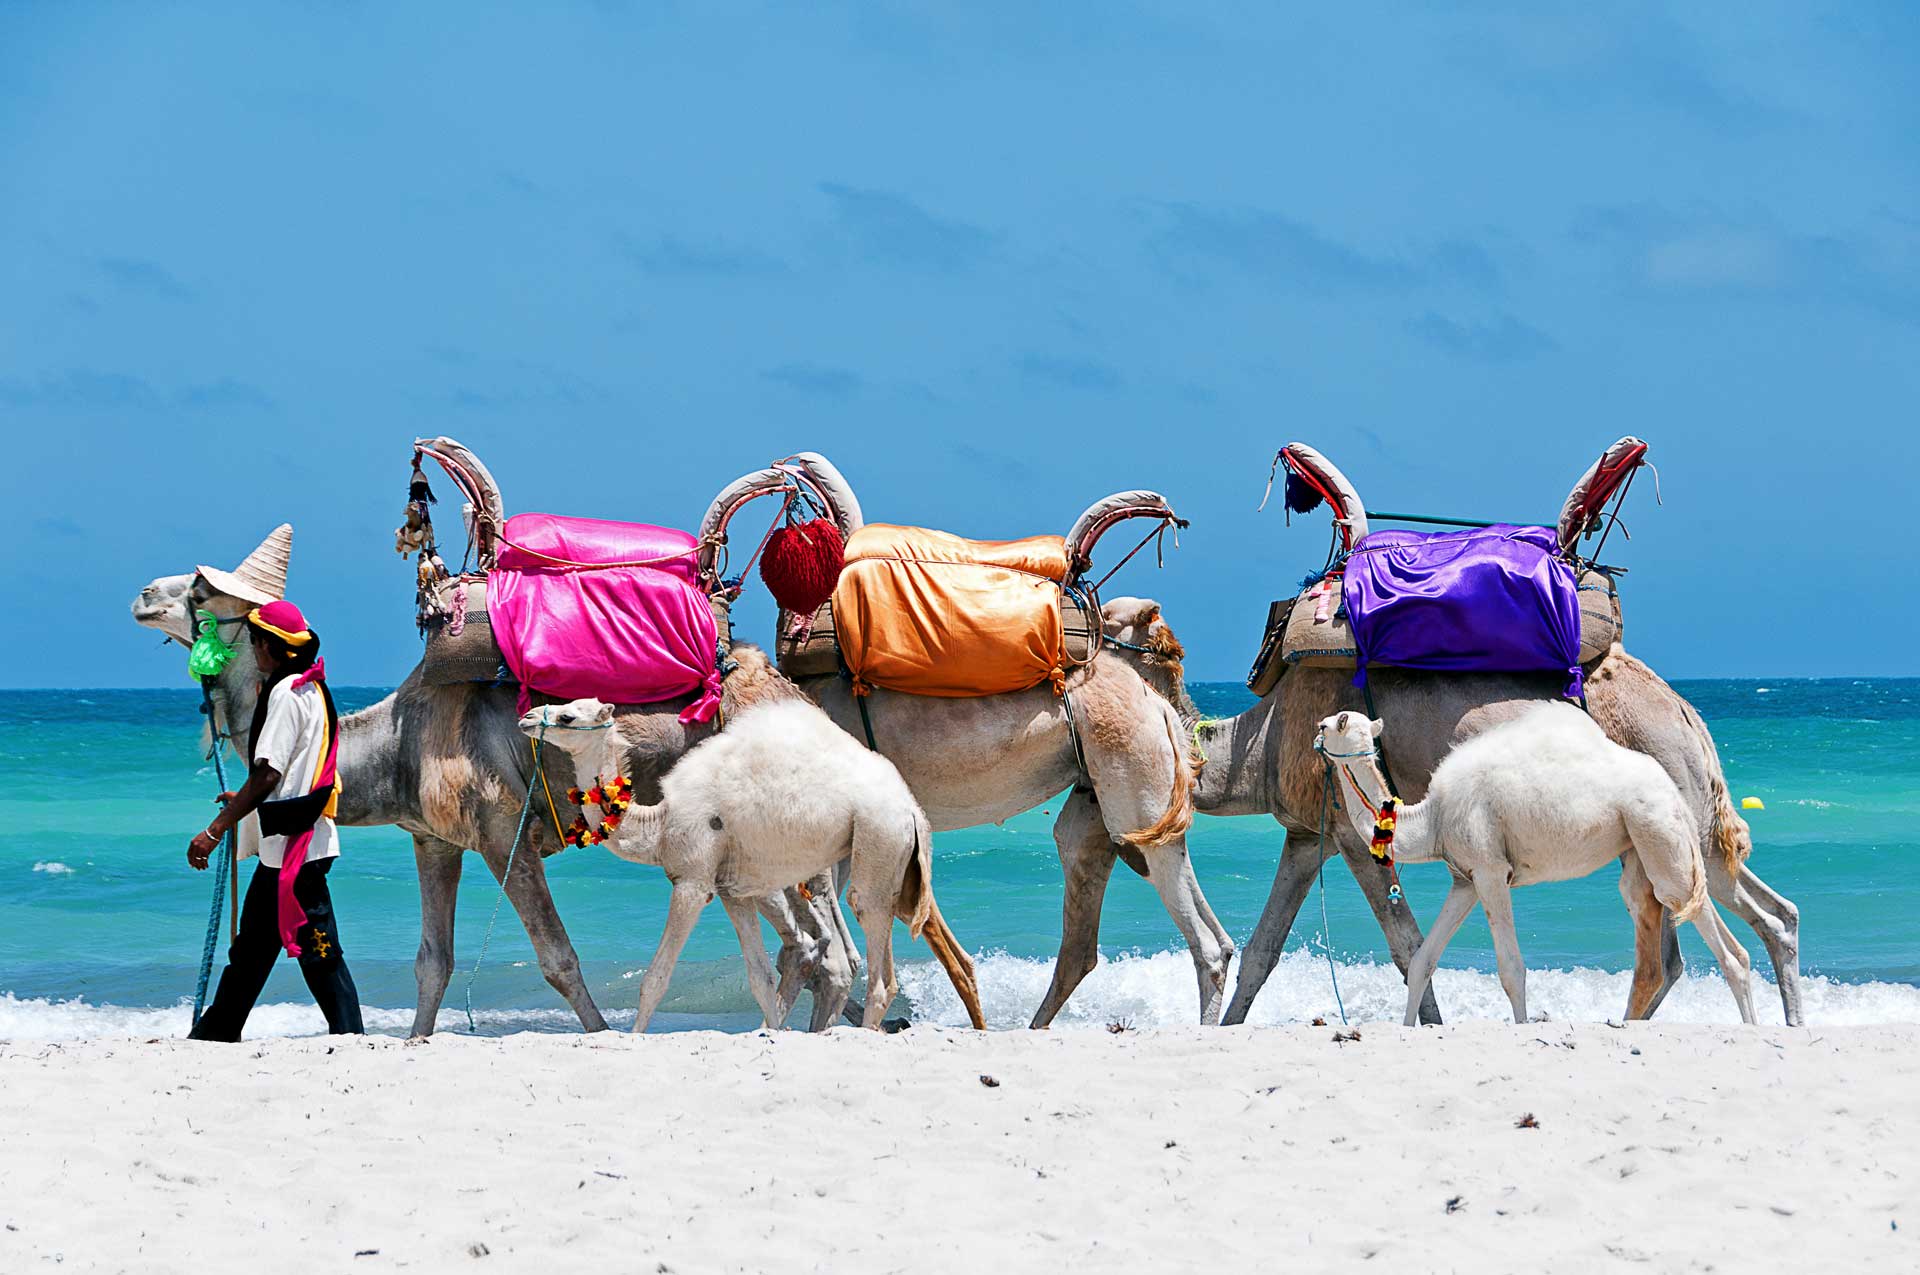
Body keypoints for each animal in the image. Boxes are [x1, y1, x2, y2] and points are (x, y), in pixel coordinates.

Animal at [518, 698, 983, 1036]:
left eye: (567, 715)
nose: (525, 717)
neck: (659, 824)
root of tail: (912, 810)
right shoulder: (733, 891)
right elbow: (759, 977)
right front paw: (772, 1034)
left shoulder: (693, 883)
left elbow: (656, 978)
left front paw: (632, 1040)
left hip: (877, 838)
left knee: (877, 955)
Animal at [1320, 706, 1758, 1029]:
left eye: (1329, 724)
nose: (1314, 733)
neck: (1433, 819)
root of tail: (1671, 787)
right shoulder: (1465, 880)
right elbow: (1422, 962)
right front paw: (1408, 1029)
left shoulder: (1491, 870)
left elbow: (1511, 969)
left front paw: (1522, 1026)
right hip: (1639, 845)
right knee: (1652, 927)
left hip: (1657, 827)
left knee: (1704, 922)